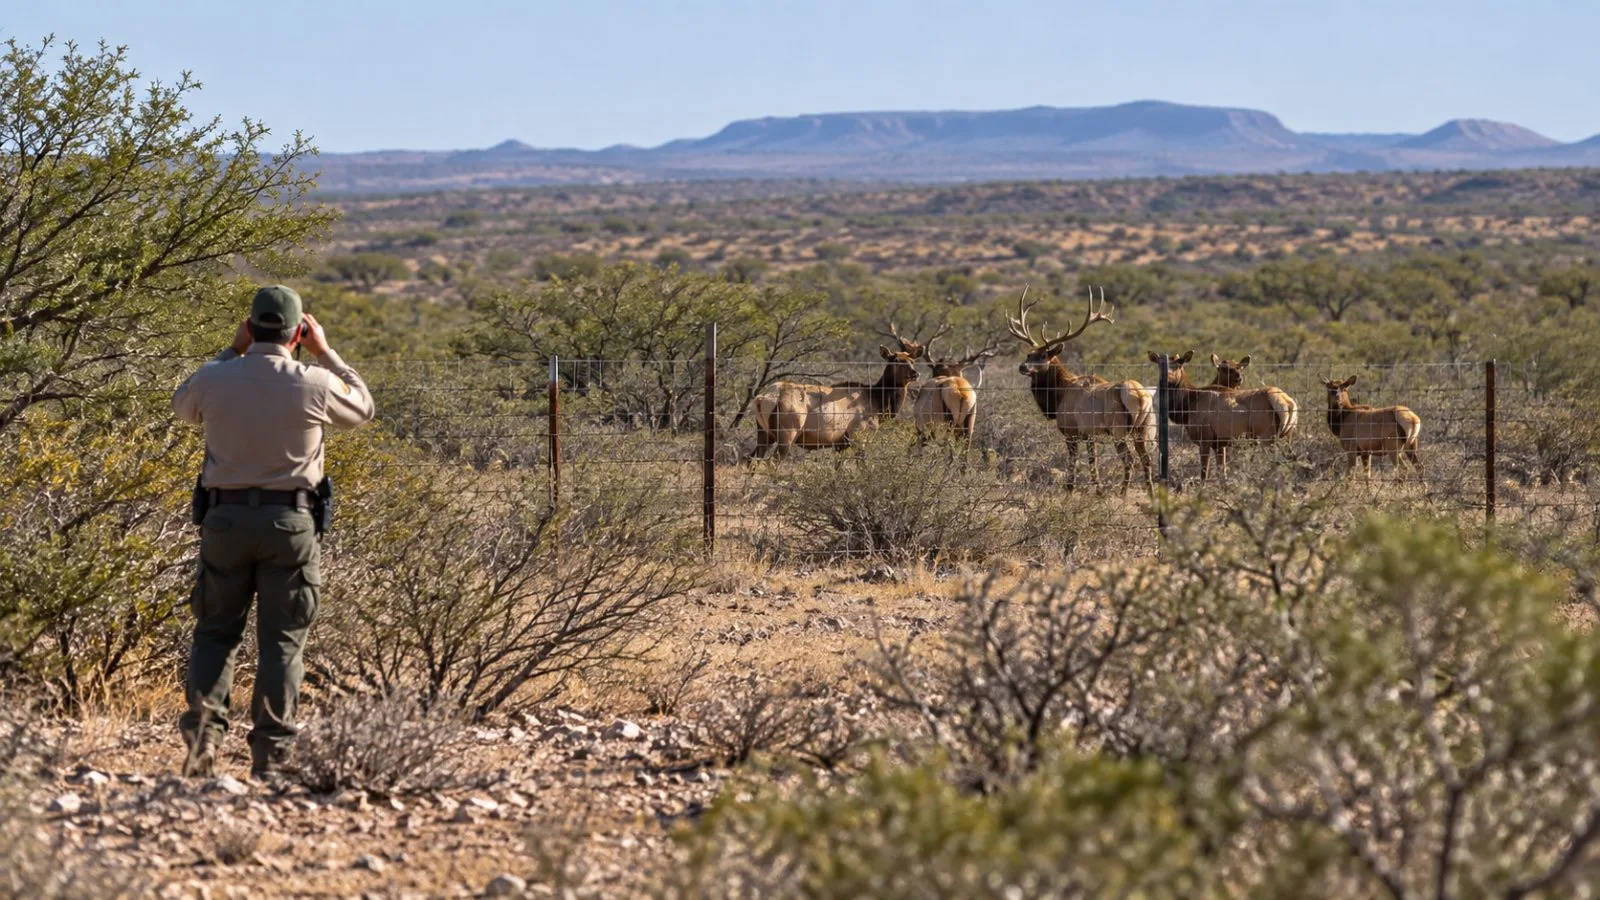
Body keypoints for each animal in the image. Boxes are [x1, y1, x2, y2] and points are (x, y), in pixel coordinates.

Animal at [751, 333, 923, 458]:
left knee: (753, 460)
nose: (915, 373)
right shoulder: (859, 434)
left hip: (764, 433)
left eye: (912, 361)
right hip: (787, 432)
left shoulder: (840, 443)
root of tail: (761, 398)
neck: (878, 403)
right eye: (896, 360)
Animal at [1007, 287, 1155, 492]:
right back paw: (1151, 493)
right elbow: (1093, 463)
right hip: (1143, 429)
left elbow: (1074, 463)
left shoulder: (1071, 430)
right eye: (1029, 354)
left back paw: (1123, 493)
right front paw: (1098, 491)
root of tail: (1141, 397)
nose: (1023, 367)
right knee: (1146, 460)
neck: (1058, 397)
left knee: (1129, 460)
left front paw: (1070, 489)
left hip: (1118, 429)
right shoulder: (1089, 434)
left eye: (1044, 355)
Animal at [1147, 351, 1299, 480]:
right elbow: (1222, 473)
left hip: (1267, 438)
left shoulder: (1205, 438)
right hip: (1287, 436)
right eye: (1159, 364)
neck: (1186, 406)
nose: (1167, 379)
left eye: (1180, 362)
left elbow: (1204, 474)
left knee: (1274, 463)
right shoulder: (1219, 444)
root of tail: (1288, 402)